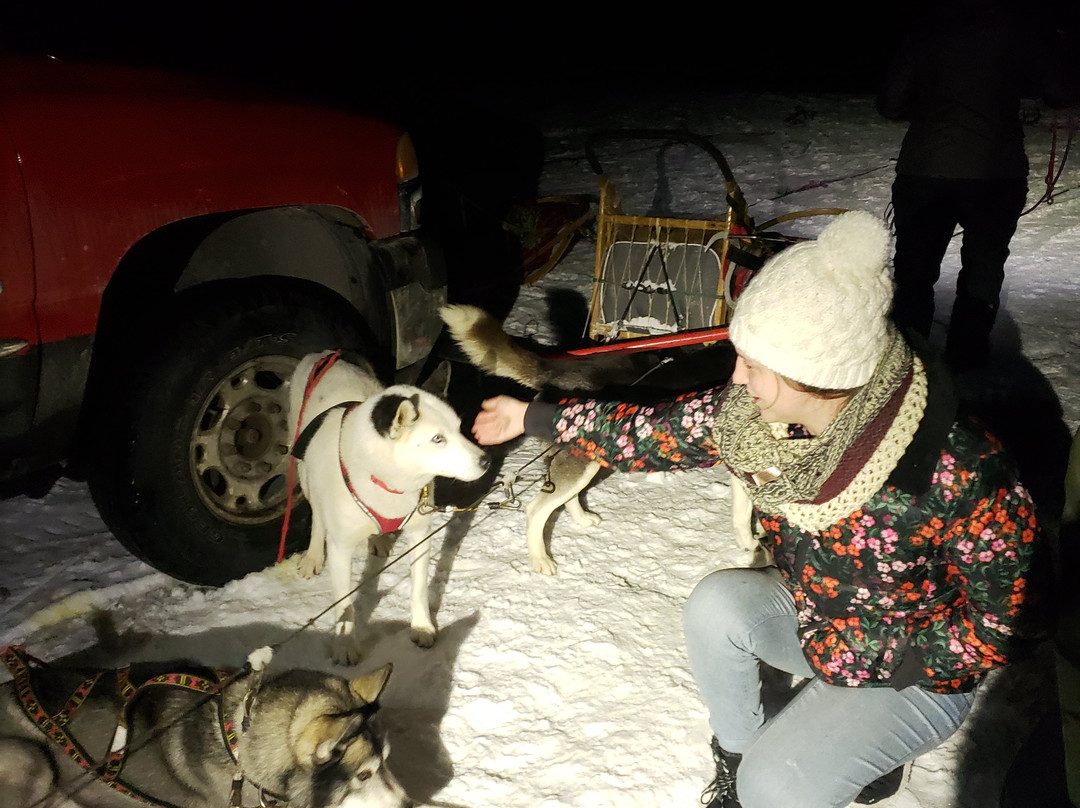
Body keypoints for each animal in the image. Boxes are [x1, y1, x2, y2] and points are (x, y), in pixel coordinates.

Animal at [287, 352, 490, 661]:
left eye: (459, 429)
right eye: (437, 439)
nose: (486, 461)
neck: (387, 480)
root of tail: (323, 355)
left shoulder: (420, 533)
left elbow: (419, 588)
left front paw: (422, 627)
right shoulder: (340, 548)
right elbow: (344, 605)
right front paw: (345, 645)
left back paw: (380, 539)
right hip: (304, 472)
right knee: (317, 514)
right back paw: (313, 555)